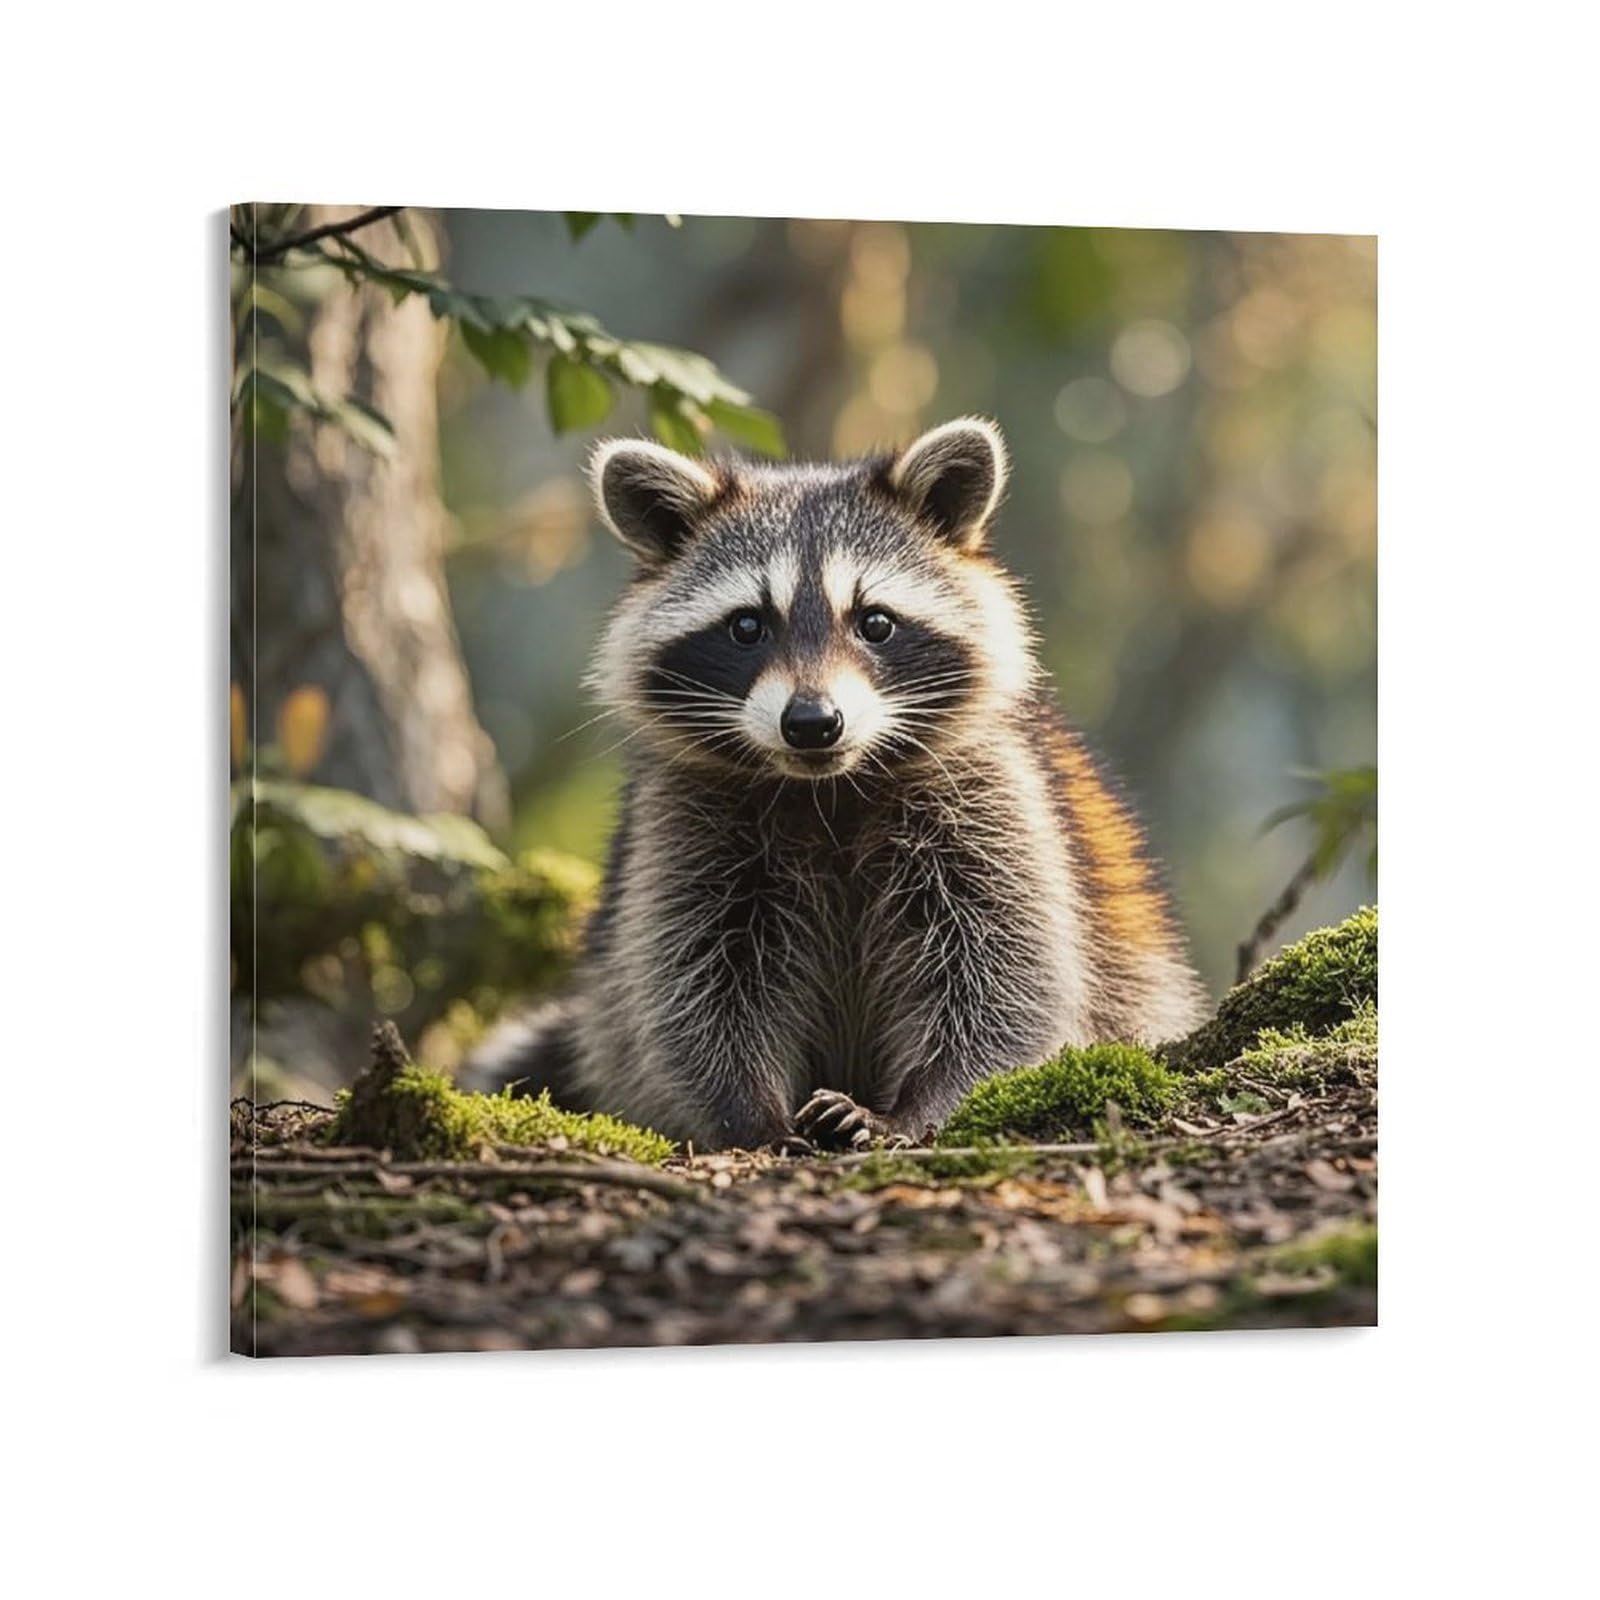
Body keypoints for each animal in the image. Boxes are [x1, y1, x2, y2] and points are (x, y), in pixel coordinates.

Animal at [466, 418, 1205, 1149]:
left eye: (875, 622)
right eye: (746, 625)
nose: (813, 723)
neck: (828, 789)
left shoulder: (992, 798)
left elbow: (1004, 976)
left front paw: (920, 1105)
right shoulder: (686, 823)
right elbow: (695, 987)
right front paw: (749, 1113)